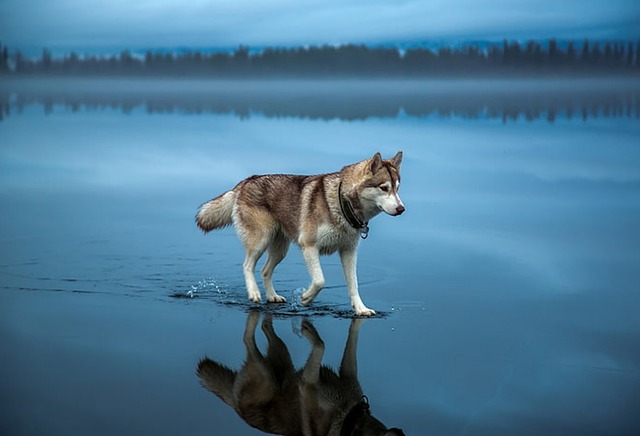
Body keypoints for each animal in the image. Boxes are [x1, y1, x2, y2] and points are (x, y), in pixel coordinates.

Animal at [196, 152, 404, 316]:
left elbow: (354, 284)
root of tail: (246, 181)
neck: (341, 203)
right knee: (247, 265)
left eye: (397, 188)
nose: (402, 209)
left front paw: (361, 309)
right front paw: (305, 298)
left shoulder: (348, 252)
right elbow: (320, 280)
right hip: (261, 240)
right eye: (384, 188)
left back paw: (272, 296)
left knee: (265, 271)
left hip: (280, 250)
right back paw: (254, 293)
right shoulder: (309, 246)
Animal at [198, 314, 402, 436]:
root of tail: (236, 408)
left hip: (281, 358)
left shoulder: (346, 375)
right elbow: (321, 345)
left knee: (265, 328)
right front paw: (309, 331)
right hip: (266, 377)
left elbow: (352, 338)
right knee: (247, 338)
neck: (350, 419)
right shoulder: (307, 384)